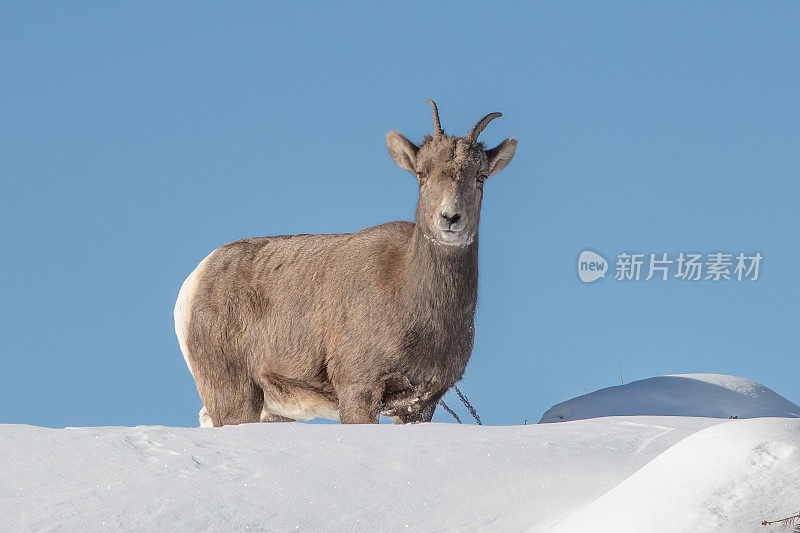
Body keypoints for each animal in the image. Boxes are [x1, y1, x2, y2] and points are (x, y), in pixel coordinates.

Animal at [173, 100, 520, 424]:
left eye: (481, 176)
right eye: (421, 173)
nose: (450, 218)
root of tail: (193, 284)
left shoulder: (420, 404)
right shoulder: (358, 390)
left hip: (270, 410)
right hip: (233, 394)